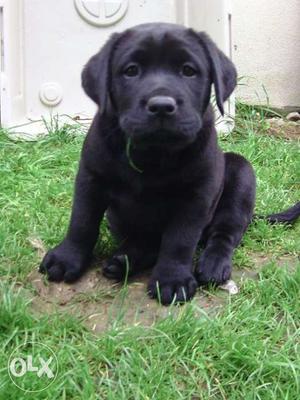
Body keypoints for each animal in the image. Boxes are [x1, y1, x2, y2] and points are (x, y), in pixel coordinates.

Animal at [39, 23, 300, 304]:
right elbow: (82, 221)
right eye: (131, 71)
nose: (162, 106)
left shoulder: (196, 195)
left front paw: (172, 280)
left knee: (224, 233)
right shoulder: (91, 178)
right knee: (148, 242)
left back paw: (213, 264)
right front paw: (66, 259)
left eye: (188, 71)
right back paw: (125, 261)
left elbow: (179, 240)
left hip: (242, 173)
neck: (153, 153)